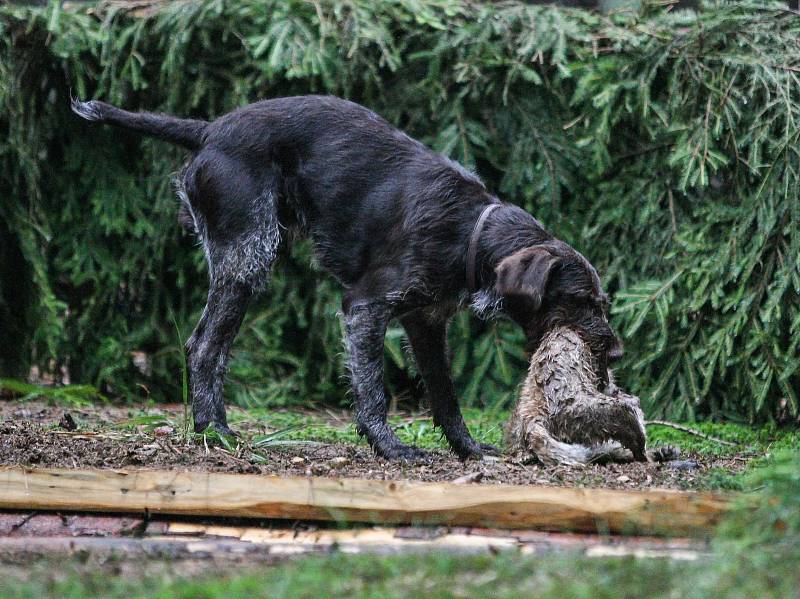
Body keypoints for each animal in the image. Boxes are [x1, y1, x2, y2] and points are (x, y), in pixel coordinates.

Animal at [72, 92, 620, 460]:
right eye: (578, 301)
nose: (614, 354)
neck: (469, 230)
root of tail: (209, 130)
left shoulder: (426, 322)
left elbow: (445, 395)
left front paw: (467, 448)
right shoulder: (365, 308)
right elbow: (373, 389)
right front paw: (390, 448)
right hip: (247, 256)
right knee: (205, 345)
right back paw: (214, 431)